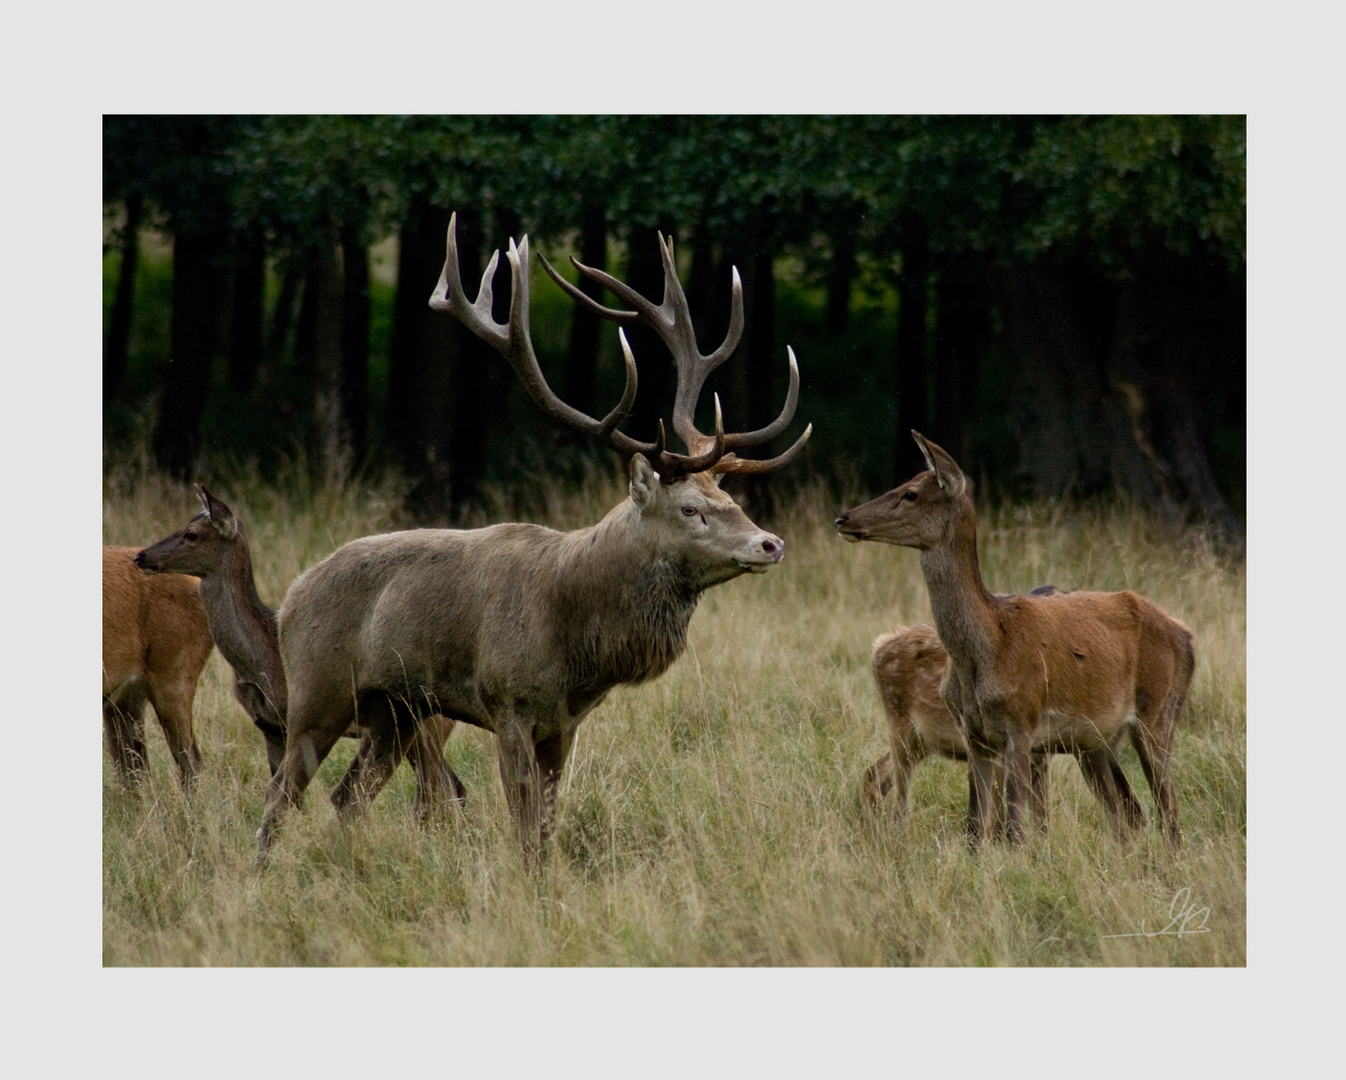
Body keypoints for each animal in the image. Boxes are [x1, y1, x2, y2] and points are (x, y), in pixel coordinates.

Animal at [136, 484, 463, 813]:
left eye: (192, 534)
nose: (141, 555)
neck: (260, 662)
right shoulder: (270, 728)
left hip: (429, 724)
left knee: (440, 786)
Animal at [255, 214, 807, 861]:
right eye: (691, 509)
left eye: (732, 501)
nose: (770, 543)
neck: (577, 645)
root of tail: (290, 596)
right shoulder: (508, 702)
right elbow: (523, 830)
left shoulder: (563, 724)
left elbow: (545, 828)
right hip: (316, 692)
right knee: (279, 796)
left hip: (394, 711)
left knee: (347, 796)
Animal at [834, 433, 1195, 845]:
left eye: (910, 493)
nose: (844, 518)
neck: (989, 646)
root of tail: (1187, 636)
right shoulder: (974, 734)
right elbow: (975, 827)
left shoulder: (1023, 723)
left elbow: (1016, 829)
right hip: (1095, 741)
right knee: (1130, 815)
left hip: (1159, 712)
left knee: (1167, 813)